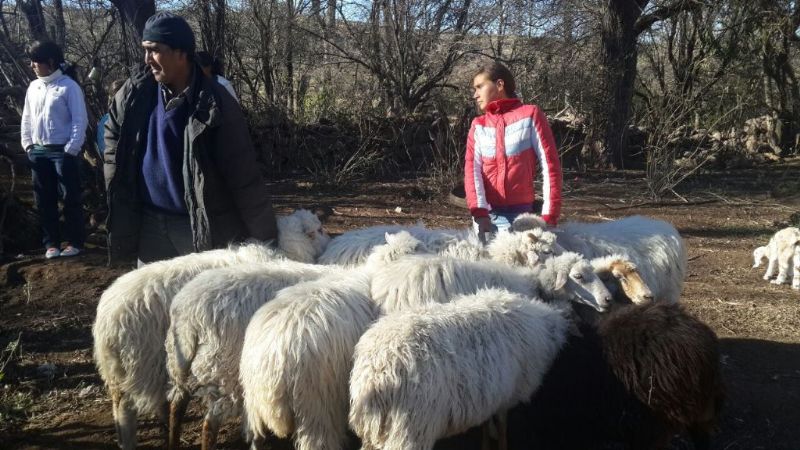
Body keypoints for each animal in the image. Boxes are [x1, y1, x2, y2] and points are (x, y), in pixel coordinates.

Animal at [164, 262, 346, 450]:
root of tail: (188, 317)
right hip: (224, 371)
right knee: (209, 422)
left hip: (178, 361)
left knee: (177, 403)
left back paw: (173, 441)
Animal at [348, 288, 570, 450]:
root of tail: (379, 370)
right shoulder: (507, 395)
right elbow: (502, 427)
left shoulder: (490, 393)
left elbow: (487, 425)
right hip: (409, 428)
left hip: (375, 429)